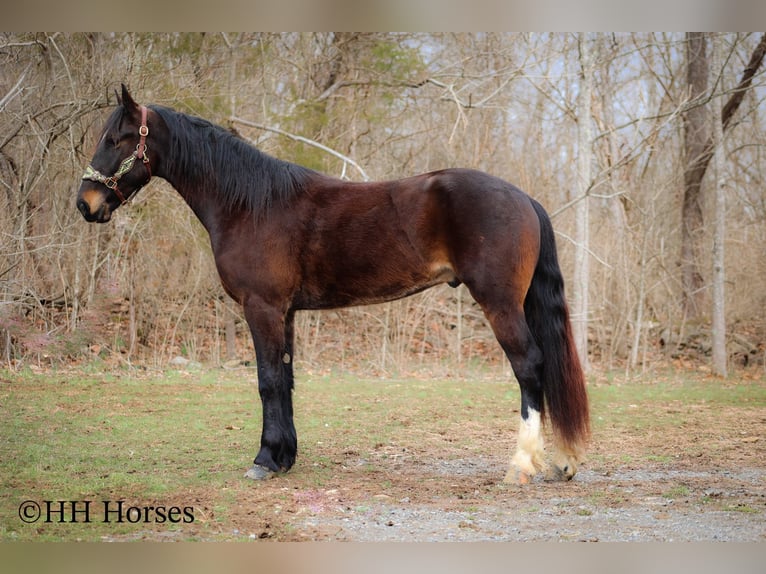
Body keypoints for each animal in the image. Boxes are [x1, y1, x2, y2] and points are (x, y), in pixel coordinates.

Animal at [78, 85, 592, 486]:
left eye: (117, 138)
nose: (87, 202)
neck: (250, 204)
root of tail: (523, 198)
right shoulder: (284, 312)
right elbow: (284, 379)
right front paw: (284, 457)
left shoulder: (262, 307)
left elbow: (266, 380)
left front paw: (263, 461)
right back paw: (561, 463)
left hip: (499, 304)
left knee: (529, 367)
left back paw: (522, 465)